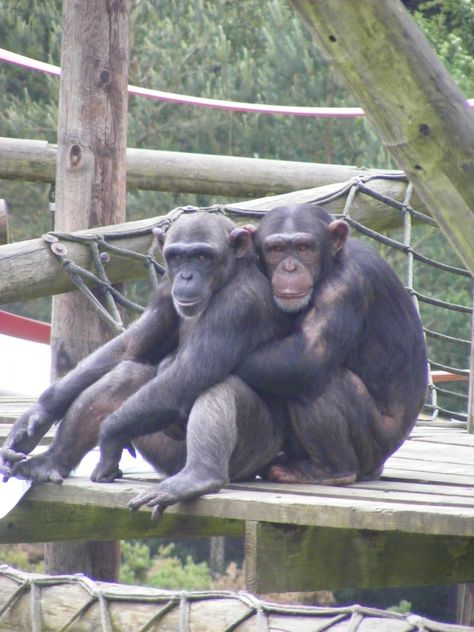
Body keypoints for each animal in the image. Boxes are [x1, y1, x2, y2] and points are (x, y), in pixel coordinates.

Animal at [0, 212, 290, 512]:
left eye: (202, 256)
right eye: (176, 257)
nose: (186, 276)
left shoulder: (240, 305)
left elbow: (189, 373)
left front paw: (109, 434)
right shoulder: (165, 291)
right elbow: (131, 348)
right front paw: (35, 419)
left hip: (249, 455)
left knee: (215, 385)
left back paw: (198, 477)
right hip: (163, 452)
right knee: (127, 374)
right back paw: (50, 462)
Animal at [235, 202, 428, 484]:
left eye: (304, 248)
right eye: (276, 250)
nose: (290, 268)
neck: (330, 265)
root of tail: (378, 467)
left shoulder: (345, 287)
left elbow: (303, 358)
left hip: (372, 446)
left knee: (321, 381)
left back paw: (329, 470)